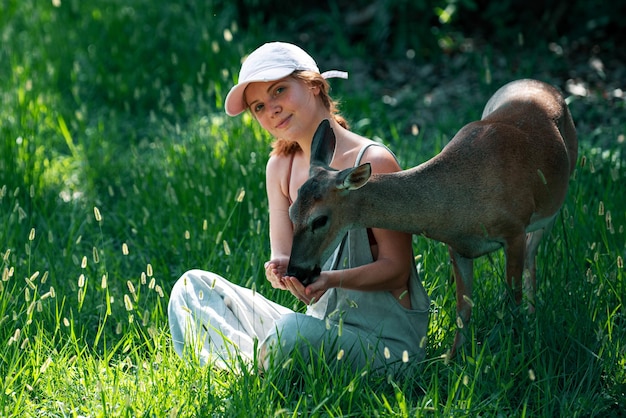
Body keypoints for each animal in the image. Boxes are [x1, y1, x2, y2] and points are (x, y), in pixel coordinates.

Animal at [286, 78, 576, 356]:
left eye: (320, 220)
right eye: (291, 212)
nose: (295, 271)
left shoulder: (514, 229)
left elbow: (512, 298)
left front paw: (518, 346)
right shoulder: (458, 247)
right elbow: (462, 310)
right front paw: (452, 358)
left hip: (552, 207)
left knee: (532, 257)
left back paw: (533, 316)